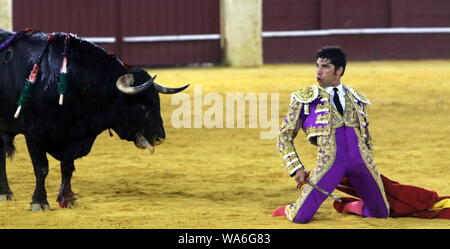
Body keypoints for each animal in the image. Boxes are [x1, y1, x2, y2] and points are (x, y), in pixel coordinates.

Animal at [0, 30, 189, 211]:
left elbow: (67, 167)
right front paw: (39, 202)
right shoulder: (35, 134)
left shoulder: (71, 137)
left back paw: (5, 192)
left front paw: (67, 199)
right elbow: (41, 168)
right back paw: (6, 192)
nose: (160, 137)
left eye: (157, 102)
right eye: (141, 105)